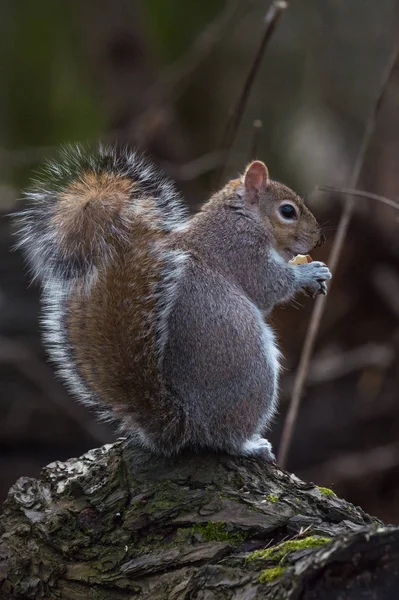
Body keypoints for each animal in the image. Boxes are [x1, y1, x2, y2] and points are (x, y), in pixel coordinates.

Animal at [14, 144, 332, 460]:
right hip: (251, 370)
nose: (319, 238)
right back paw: (249, 445)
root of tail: (187, 425)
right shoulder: (239, 249)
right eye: (287, 211)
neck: (242, 216)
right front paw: (308, 273)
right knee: (223, 438)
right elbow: (266, 285)